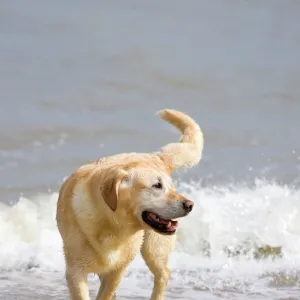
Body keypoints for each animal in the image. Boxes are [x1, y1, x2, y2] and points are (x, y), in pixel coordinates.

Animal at [56, 109, 204, 298]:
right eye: (157, 186)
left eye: (170, 187)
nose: (189, 205)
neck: (112, 225)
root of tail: (154, 155)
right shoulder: (76, 272)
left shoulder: (117, 271)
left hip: (153, 248)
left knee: (163, 274)